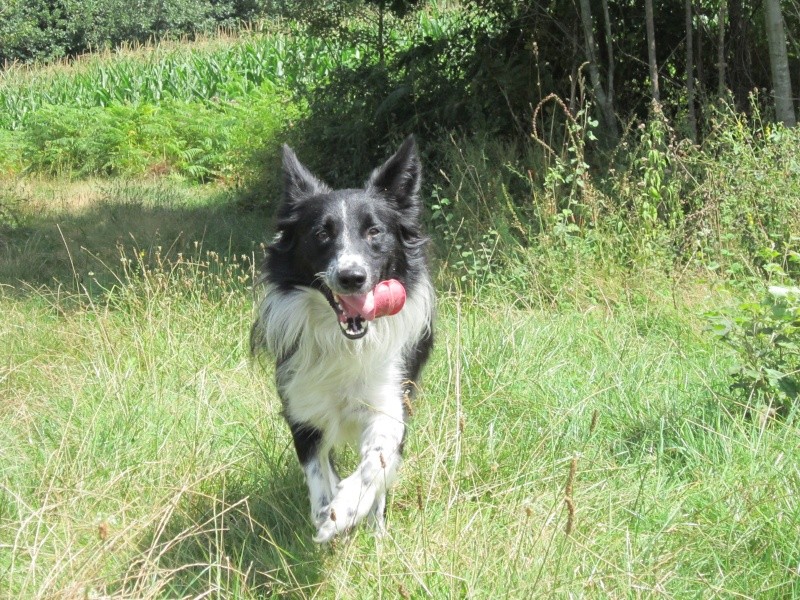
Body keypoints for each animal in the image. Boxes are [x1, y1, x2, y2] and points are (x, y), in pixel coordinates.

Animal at [252, 137, 434, 544]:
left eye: (374, 232)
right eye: (321, 234)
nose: (352, 277)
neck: (345, 342)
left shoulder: (389, 402)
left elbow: (375, 463)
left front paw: (347, 510)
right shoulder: (302, 407)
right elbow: (318, 472)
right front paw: (326, 513)